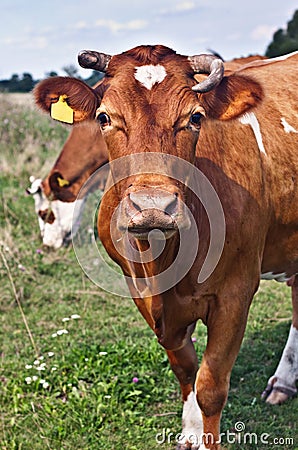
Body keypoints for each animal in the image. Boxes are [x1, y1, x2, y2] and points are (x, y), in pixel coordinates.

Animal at [33, 46, 296, 450]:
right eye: (104, 117)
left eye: (195, 117)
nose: (152, 206)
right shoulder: (141, 291)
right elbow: (185, 368)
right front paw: (189, 433)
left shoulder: (235, 293)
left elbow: (211, 387)